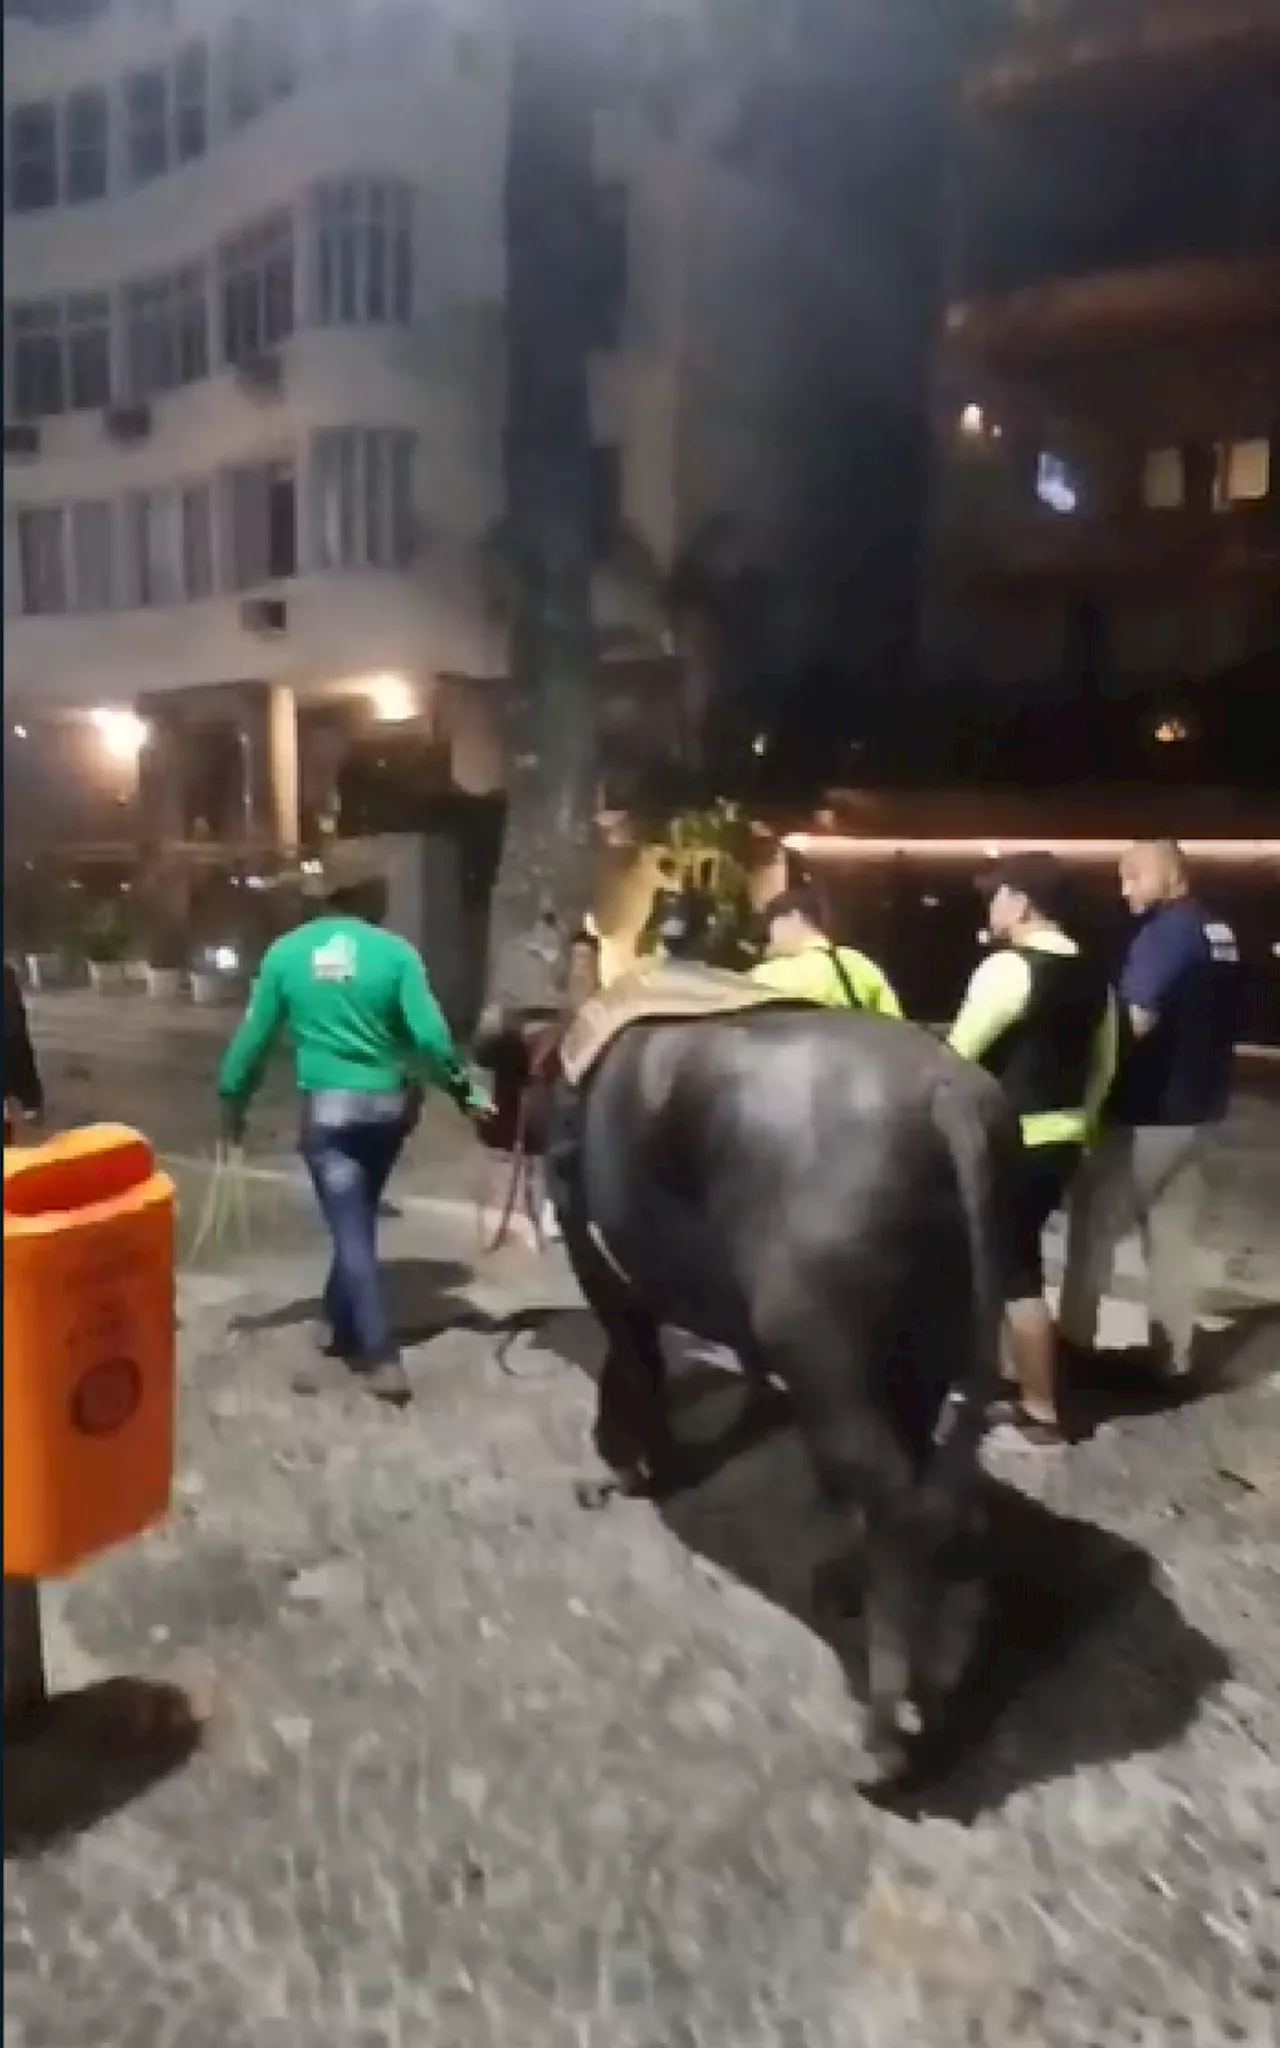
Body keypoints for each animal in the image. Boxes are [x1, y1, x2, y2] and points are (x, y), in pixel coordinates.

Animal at [477, 999, 1019, 1769]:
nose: (481, 1114)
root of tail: (949, 1097)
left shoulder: (598, 1255)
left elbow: (631, 1356)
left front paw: (617, 1470)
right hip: (930, 1339)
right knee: (920, 1481)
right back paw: (866, 1612)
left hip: (821, 1341)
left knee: (892, 1496)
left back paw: (885, 1735)